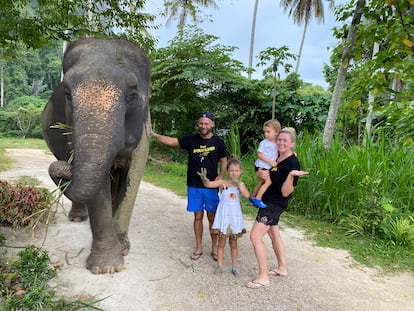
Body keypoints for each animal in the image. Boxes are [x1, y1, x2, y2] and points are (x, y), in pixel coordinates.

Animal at [41, 37, 151, 274]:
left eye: (132, 94)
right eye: (67, 94)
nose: (63, 168)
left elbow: (133, 177)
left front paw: (122, 248)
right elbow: (99, 189)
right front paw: (106, 268)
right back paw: (77, 218)